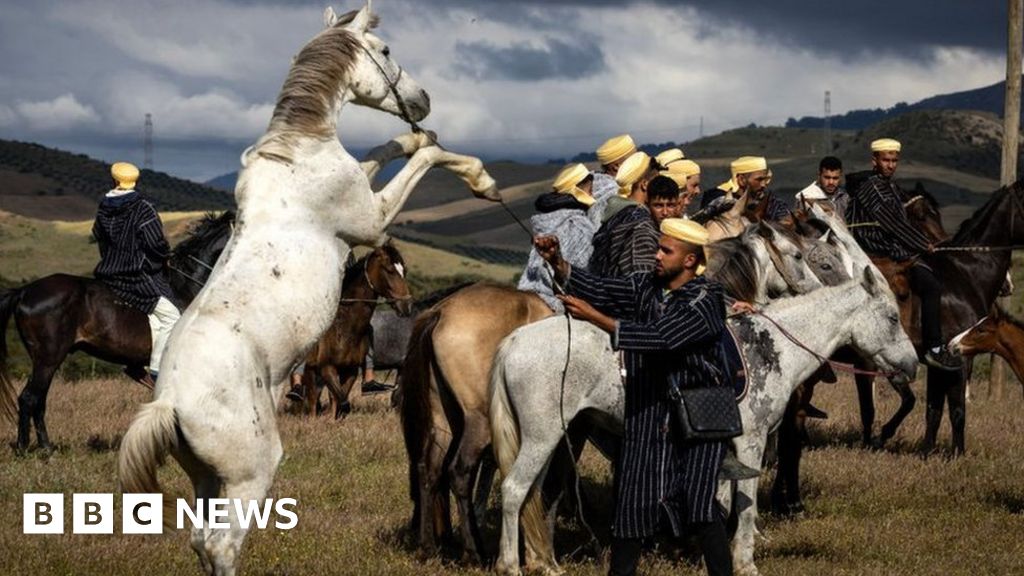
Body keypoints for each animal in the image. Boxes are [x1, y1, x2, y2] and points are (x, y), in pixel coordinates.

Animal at [0, 208, 234, 450]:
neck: (188, 288)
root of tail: (24, 291)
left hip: (45, 359)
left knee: (38, 399)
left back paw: (43, 447)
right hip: (49, 357)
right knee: (30, 398)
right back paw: (27, 448)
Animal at [296, 241, 411, 416]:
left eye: (404, 271)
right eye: (390, 270)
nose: (406, 306)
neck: (344, 328)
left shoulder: (350, 370)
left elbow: (339, 400)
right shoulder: (326, 368)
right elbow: (339, 401)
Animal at [483, 268, 917, 573]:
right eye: (892, 318)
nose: (912, 365)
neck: (772, 349)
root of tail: (514, 341)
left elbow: (719, 503)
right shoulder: (752, 441)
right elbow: (745, 505)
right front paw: (745, 562)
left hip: (550, 437)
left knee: (533, 495)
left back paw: (543, 563)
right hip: (542, 436)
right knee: (515, 490)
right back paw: (510, 565)